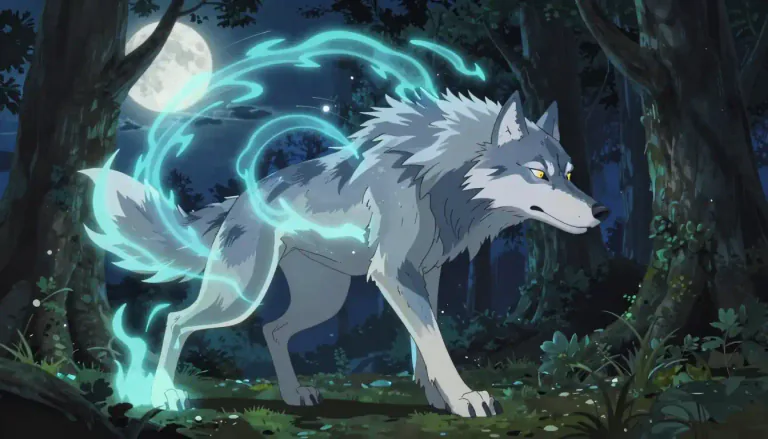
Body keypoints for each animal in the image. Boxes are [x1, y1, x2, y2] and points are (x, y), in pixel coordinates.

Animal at [81, 90, 608, 418]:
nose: (601, 210)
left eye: (568, 172)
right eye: (538, 173)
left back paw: (294, 394)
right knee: (177, 320)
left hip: (323, 300)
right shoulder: (396, 274)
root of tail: (240, 200)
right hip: (240, 296)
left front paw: (439, 398)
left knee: (272, 329)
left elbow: (424, 344)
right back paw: (166, 395)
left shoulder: (427, 275)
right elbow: (435, 341)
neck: (439, 180)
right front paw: (465, 398)